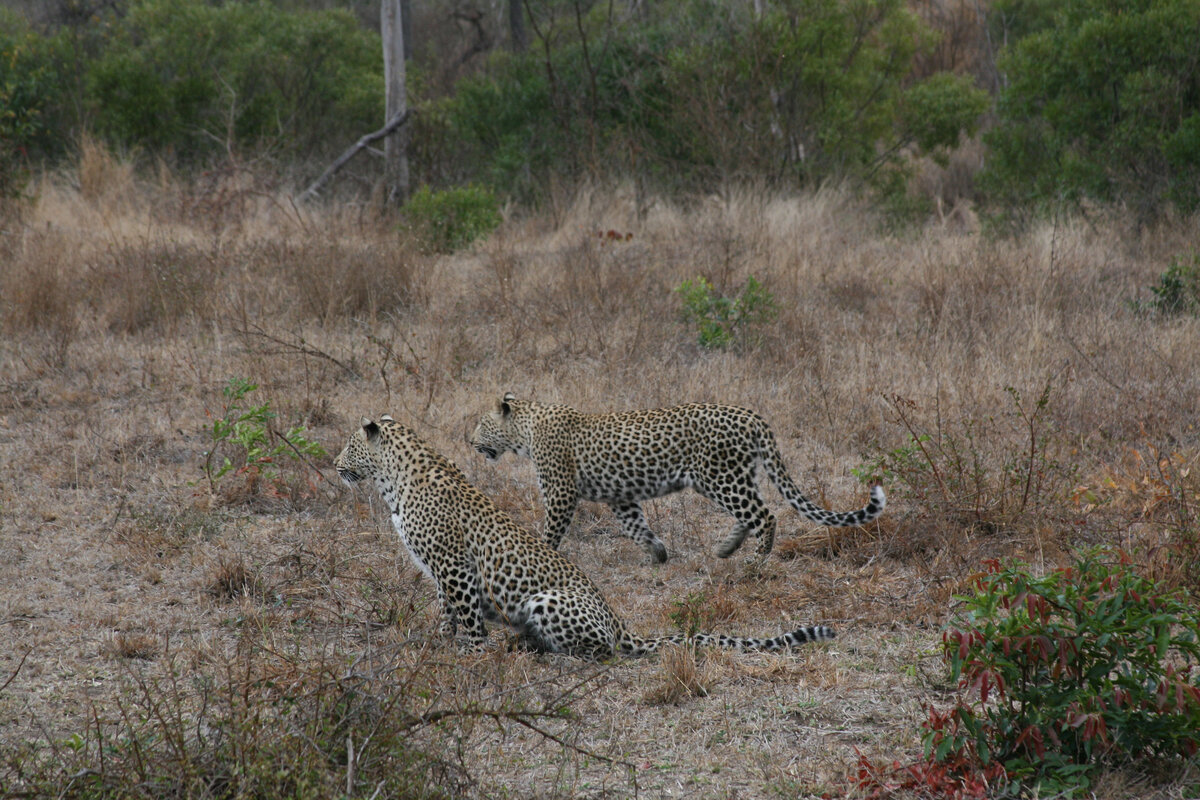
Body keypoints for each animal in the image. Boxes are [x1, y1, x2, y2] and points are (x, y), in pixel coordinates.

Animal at [328, 417, 835, 662]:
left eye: (349, 446)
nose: (334, 466)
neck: (394, 483)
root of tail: (618, 622)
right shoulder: (438, 568)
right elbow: (445, 610)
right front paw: (439, 641)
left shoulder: (454, 564)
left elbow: (467, 615)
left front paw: (471, 655)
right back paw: (520, 646)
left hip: (547, 600)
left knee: (601, 653)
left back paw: (550, 656)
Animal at [472, 393, 888, 563]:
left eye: (479, 423)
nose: (470, 441)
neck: (525, 430)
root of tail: (752, 415)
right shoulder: (620, 497)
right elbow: (637, 526)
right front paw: (659, 553)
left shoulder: (560, 493)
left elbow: (550, 533)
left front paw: (540, 557)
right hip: (734, 476)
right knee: (750, 514)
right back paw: (726, 549)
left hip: (720, 477)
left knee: (765, 515)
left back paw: (754, 562)